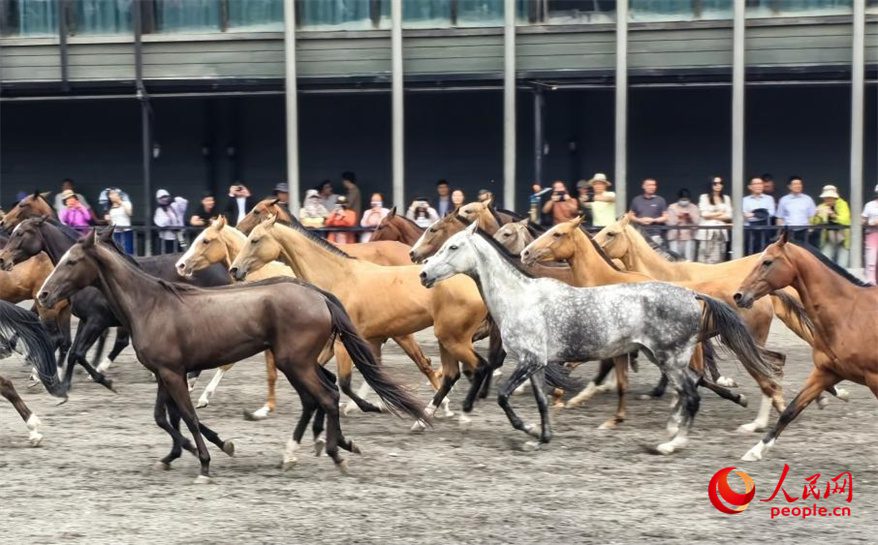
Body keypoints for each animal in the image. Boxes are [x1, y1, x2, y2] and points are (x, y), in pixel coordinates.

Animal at [422, 223, 780, 452]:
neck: (520, 298)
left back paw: (671, 443)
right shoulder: (534, 364)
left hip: (670, 359)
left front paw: (526, 429)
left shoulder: (529, 361)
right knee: (691, 389)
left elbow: (503, 396)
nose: (423, 273)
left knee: (692, 395)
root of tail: (693, 296)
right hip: (663, 358)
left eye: (453, 246)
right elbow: (540, 402)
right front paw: (541, 436)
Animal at [736, 230, 878, 460]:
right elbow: (790, 411)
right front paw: (755, 451)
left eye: (767, 261)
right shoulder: (825, 372)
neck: (849, 314)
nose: (739, 295)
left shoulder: (874, 378)